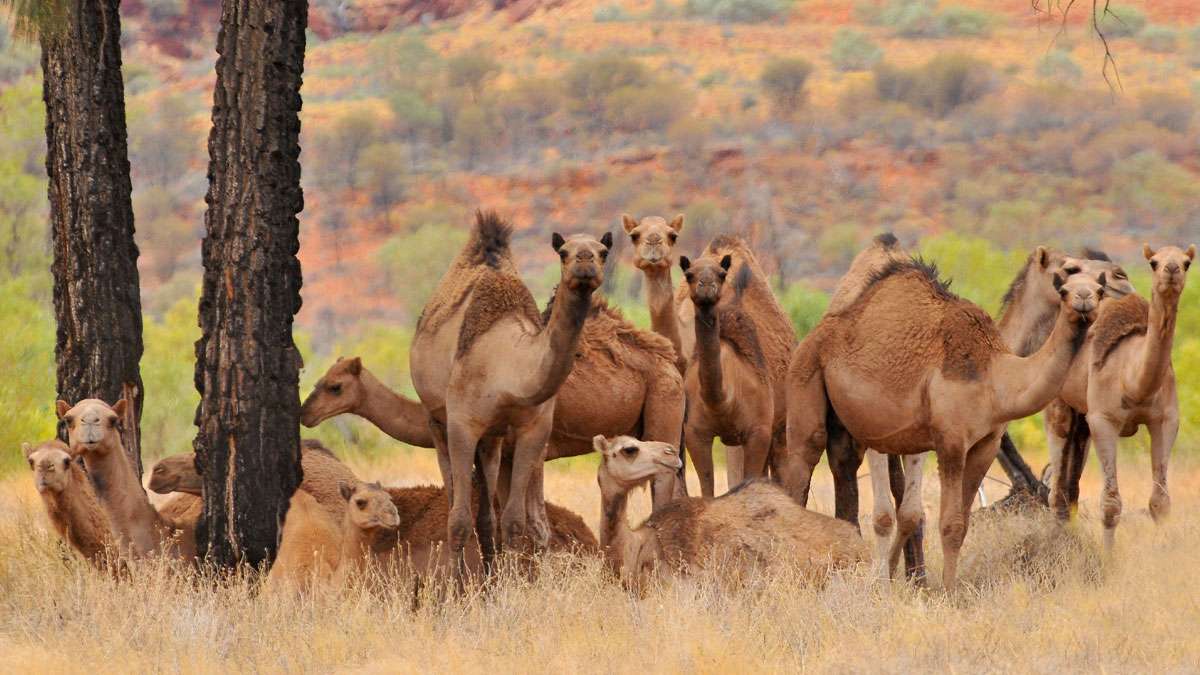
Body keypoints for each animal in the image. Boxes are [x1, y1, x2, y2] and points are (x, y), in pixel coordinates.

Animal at [410, 210, 609, 571]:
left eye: (603, 252)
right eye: (564, 252)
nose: (585, 263)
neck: (508, 369)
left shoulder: (534, 428)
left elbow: (514, 520)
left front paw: (509, 581)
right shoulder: (462, 424)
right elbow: (458, 519)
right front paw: (457, 585)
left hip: (493, 437)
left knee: (488, 511)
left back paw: (490, 571)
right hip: (436, 419)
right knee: (453, 499)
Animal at [787, 257, 1104, 583]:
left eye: (1100, 290)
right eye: (1063, 289)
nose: (1083, 299)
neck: (996, 376)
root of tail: (816, 333)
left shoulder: (986, 444)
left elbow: (960, 524)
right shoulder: (951, 442)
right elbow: (950, 524)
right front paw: (946, 589)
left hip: (849, 426)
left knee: (846, 466)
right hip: (805, 375)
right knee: (802, 462)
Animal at [1056, 243, 1195, 542]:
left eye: (1187, 262)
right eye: (1154, 262)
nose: (1172, 269)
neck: (1133, 381)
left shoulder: (1166, 420)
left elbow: (1160, 501)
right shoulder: (1103, 420)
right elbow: (1110, 503)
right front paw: (1108, 556)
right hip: (1059, 404)